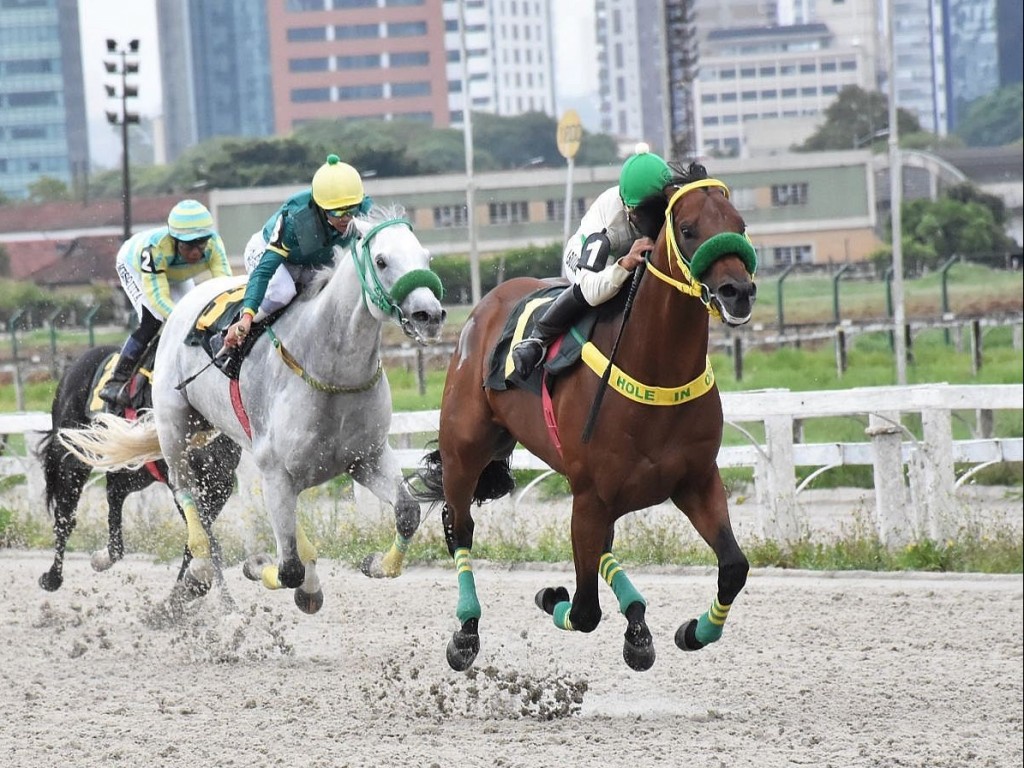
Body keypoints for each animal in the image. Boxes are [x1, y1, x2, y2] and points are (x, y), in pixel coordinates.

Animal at [36, 346, 241, 593]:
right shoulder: (185, 479)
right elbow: (204, 536)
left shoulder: (220, 483)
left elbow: (200, 537)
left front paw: (188, 589)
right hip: (73, 457)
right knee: (65, 517)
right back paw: (52, 578)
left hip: (135, 471)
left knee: (114, 494)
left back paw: (105, 557)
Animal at [61, 204, 446, 614]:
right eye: (382, 260)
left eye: (426, 257)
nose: (429, 315)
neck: (330, 369)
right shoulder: (278, 471)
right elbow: (288, 568)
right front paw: (260, 566)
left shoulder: (366, 458)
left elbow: (406, 514)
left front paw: (373, 563)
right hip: (174, 426)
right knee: (185, 491)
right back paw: (199, 565)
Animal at [413, 163, 761, 671]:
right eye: (687, 229)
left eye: (740, 224)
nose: (738, 292)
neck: (656, 369)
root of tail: (487, 304)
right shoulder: (589, 496)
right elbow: (582, 610)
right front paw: (549, 594)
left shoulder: (695, 481)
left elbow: (734, 566)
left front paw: (693, 632)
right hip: (465, 453)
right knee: (459, 527)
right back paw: (466, 632)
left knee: (607, 550)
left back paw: (637, 625)